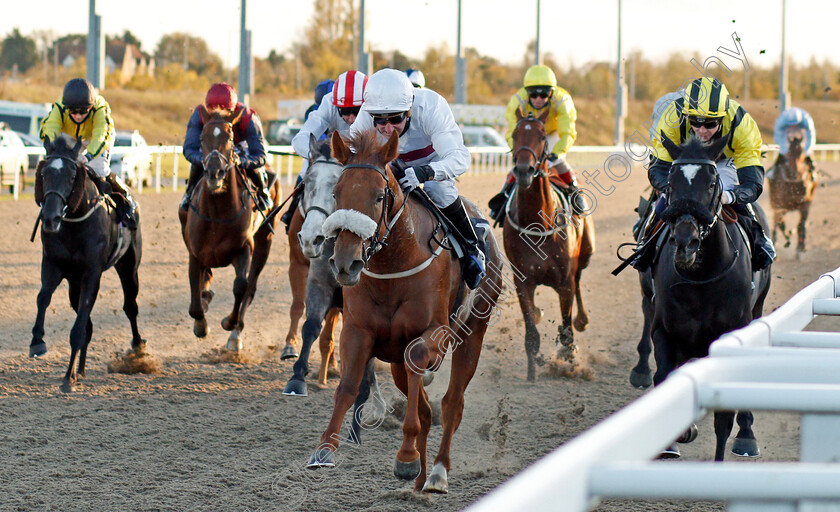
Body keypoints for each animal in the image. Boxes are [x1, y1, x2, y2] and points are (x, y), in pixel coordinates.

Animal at [32, 133, 144, 392]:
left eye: (72, 176)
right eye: (43, 174)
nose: (50, 218)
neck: (74, 220)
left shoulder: (92, 273)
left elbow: (79, 326)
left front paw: (66, 379)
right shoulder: (53, 265)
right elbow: (43, 298)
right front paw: (37, 341)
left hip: (129, 268)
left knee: (130, 306)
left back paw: (137, 348)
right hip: (74, 284)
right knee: (89, 325)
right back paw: (80, 369)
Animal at [177, 106, 282, 350]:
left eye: (230, 138)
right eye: (202, 138)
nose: (214, 173)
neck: (217, 214)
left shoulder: (244, 249)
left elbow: (240, 286)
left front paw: (229, 322)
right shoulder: (195, 252)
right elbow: (195, 298)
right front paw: (201, 321)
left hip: (265, 240)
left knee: (251, 287)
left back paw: (236, 334)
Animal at [308, 130, 506, 494]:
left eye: (377, 196)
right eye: (336, 193)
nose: (345, 263)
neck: (395, 262)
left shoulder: (433, 333)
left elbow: (419, 365)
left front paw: (406, 457)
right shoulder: (358, 331)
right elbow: (348, 385)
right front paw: (325, 449)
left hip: (475, 328)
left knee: (452, 403)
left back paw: (438, 473)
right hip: (396, 358)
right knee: (427, 408)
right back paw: (420, 479)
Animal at [502, 110, 592, 382]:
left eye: (542, 136)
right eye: (514, 134)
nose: (524, 170)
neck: (539, 224)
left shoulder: (564, 281)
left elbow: (566, 329)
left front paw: (569, 357)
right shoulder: (523, 281)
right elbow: (531, 333)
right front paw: (532, 372)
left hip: (586, 254)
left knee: (580, 281)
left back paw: (582, 320)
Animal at [632, 134, 776, 462]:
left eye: (712, 184)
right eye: (671, 183)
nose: (686, 242)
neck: (700, 278)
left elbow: (723, 417)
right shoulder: (667, 330)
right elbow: (665, 378)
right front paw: (677, 436)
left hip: (758, 307)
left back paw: (746, 435)